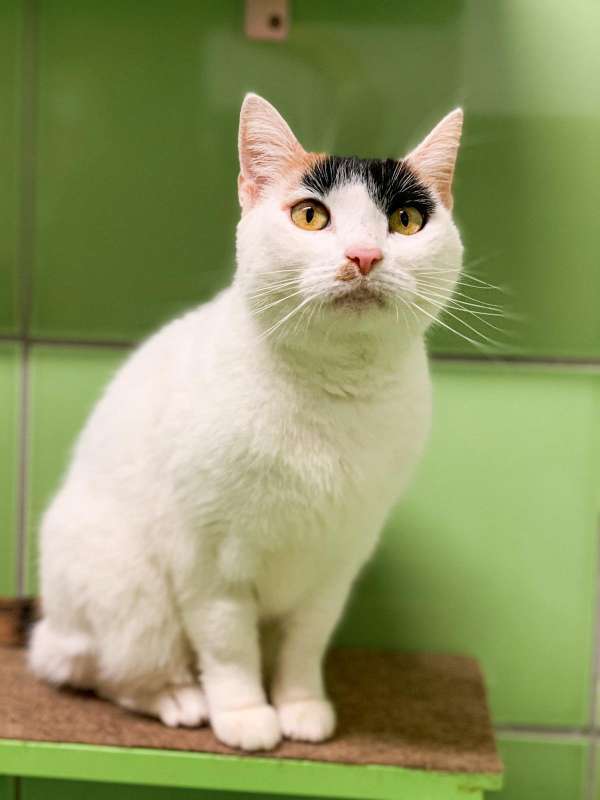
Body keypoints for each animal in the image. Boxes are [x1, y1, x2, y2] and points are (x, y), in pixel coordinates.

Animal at [28, 93, 463, 751]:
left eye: (407, 221)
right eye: (311, 216)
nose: (364, 256)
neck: (331, 392)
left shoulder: (337, 563)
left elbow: (305, 644)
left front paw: (300, 705)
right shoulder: (209, 562)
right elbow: (229, 647)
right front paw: (245, 713)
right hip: (129, 591)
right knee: (101, 671)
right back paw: (179, 697)